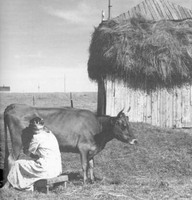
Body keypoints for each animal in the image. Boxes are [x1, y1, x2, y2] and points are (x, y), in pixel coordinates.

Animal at [3, 104, 137, 185]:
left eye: (129, 123)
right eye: (122, 124)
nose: (135, 140)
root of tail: (15, 105)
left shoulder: (92, 150)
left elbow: (92, 165)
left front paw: (92, 180)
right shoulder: (83, 147)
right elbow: (84, 165)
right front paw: (85, 182)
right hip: (17, 141)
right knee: (11, 159)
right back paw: (10, 183)